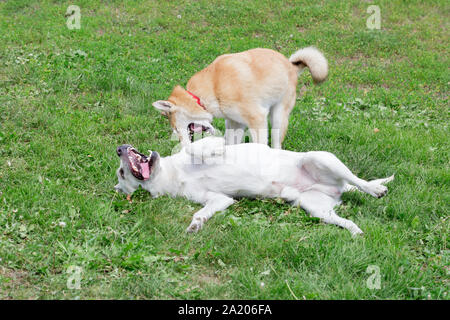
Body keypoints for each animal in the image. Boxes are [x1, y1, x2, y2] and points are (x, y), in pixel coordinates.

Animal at [114, 138, 392, 235]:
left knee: (357, 180)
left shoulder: (207, 142)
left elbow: (195, 147)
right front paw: (195, 225)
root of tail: (336, 188)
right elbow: (200, 213)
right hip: (316, 209)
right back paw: (356, 232)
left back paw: (376, 189)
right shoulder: (218, 200)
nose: (119, 148)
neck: (174, 175)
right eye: (122, 173)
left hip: (321, 158)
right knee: (346, 218)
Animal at [153, 46, 328, 149]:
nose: (182, 147)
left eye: (176, 128)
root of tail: (291, 65)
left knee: (276, 144)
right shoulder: (234, 123)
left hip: (278, 118)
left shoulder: (257, 119)